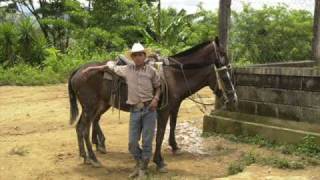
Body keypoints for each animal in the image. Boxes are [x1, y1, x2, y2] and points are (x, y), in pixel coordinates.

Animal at [67, 37, 238, 168]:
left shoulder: (174, 106)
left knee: (83, 126)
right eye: (225, 77)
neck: (175, 75)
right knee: (84, 128)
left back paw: (87, 154)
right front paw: (159, 160)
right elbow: (160, 133)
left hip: (97, 105)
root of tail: (78, 70)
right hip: (91, 106)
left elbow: (172, 125)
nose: (233, 99)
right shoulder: (164, 110)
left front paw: (174, 146)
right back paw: (93, 157)